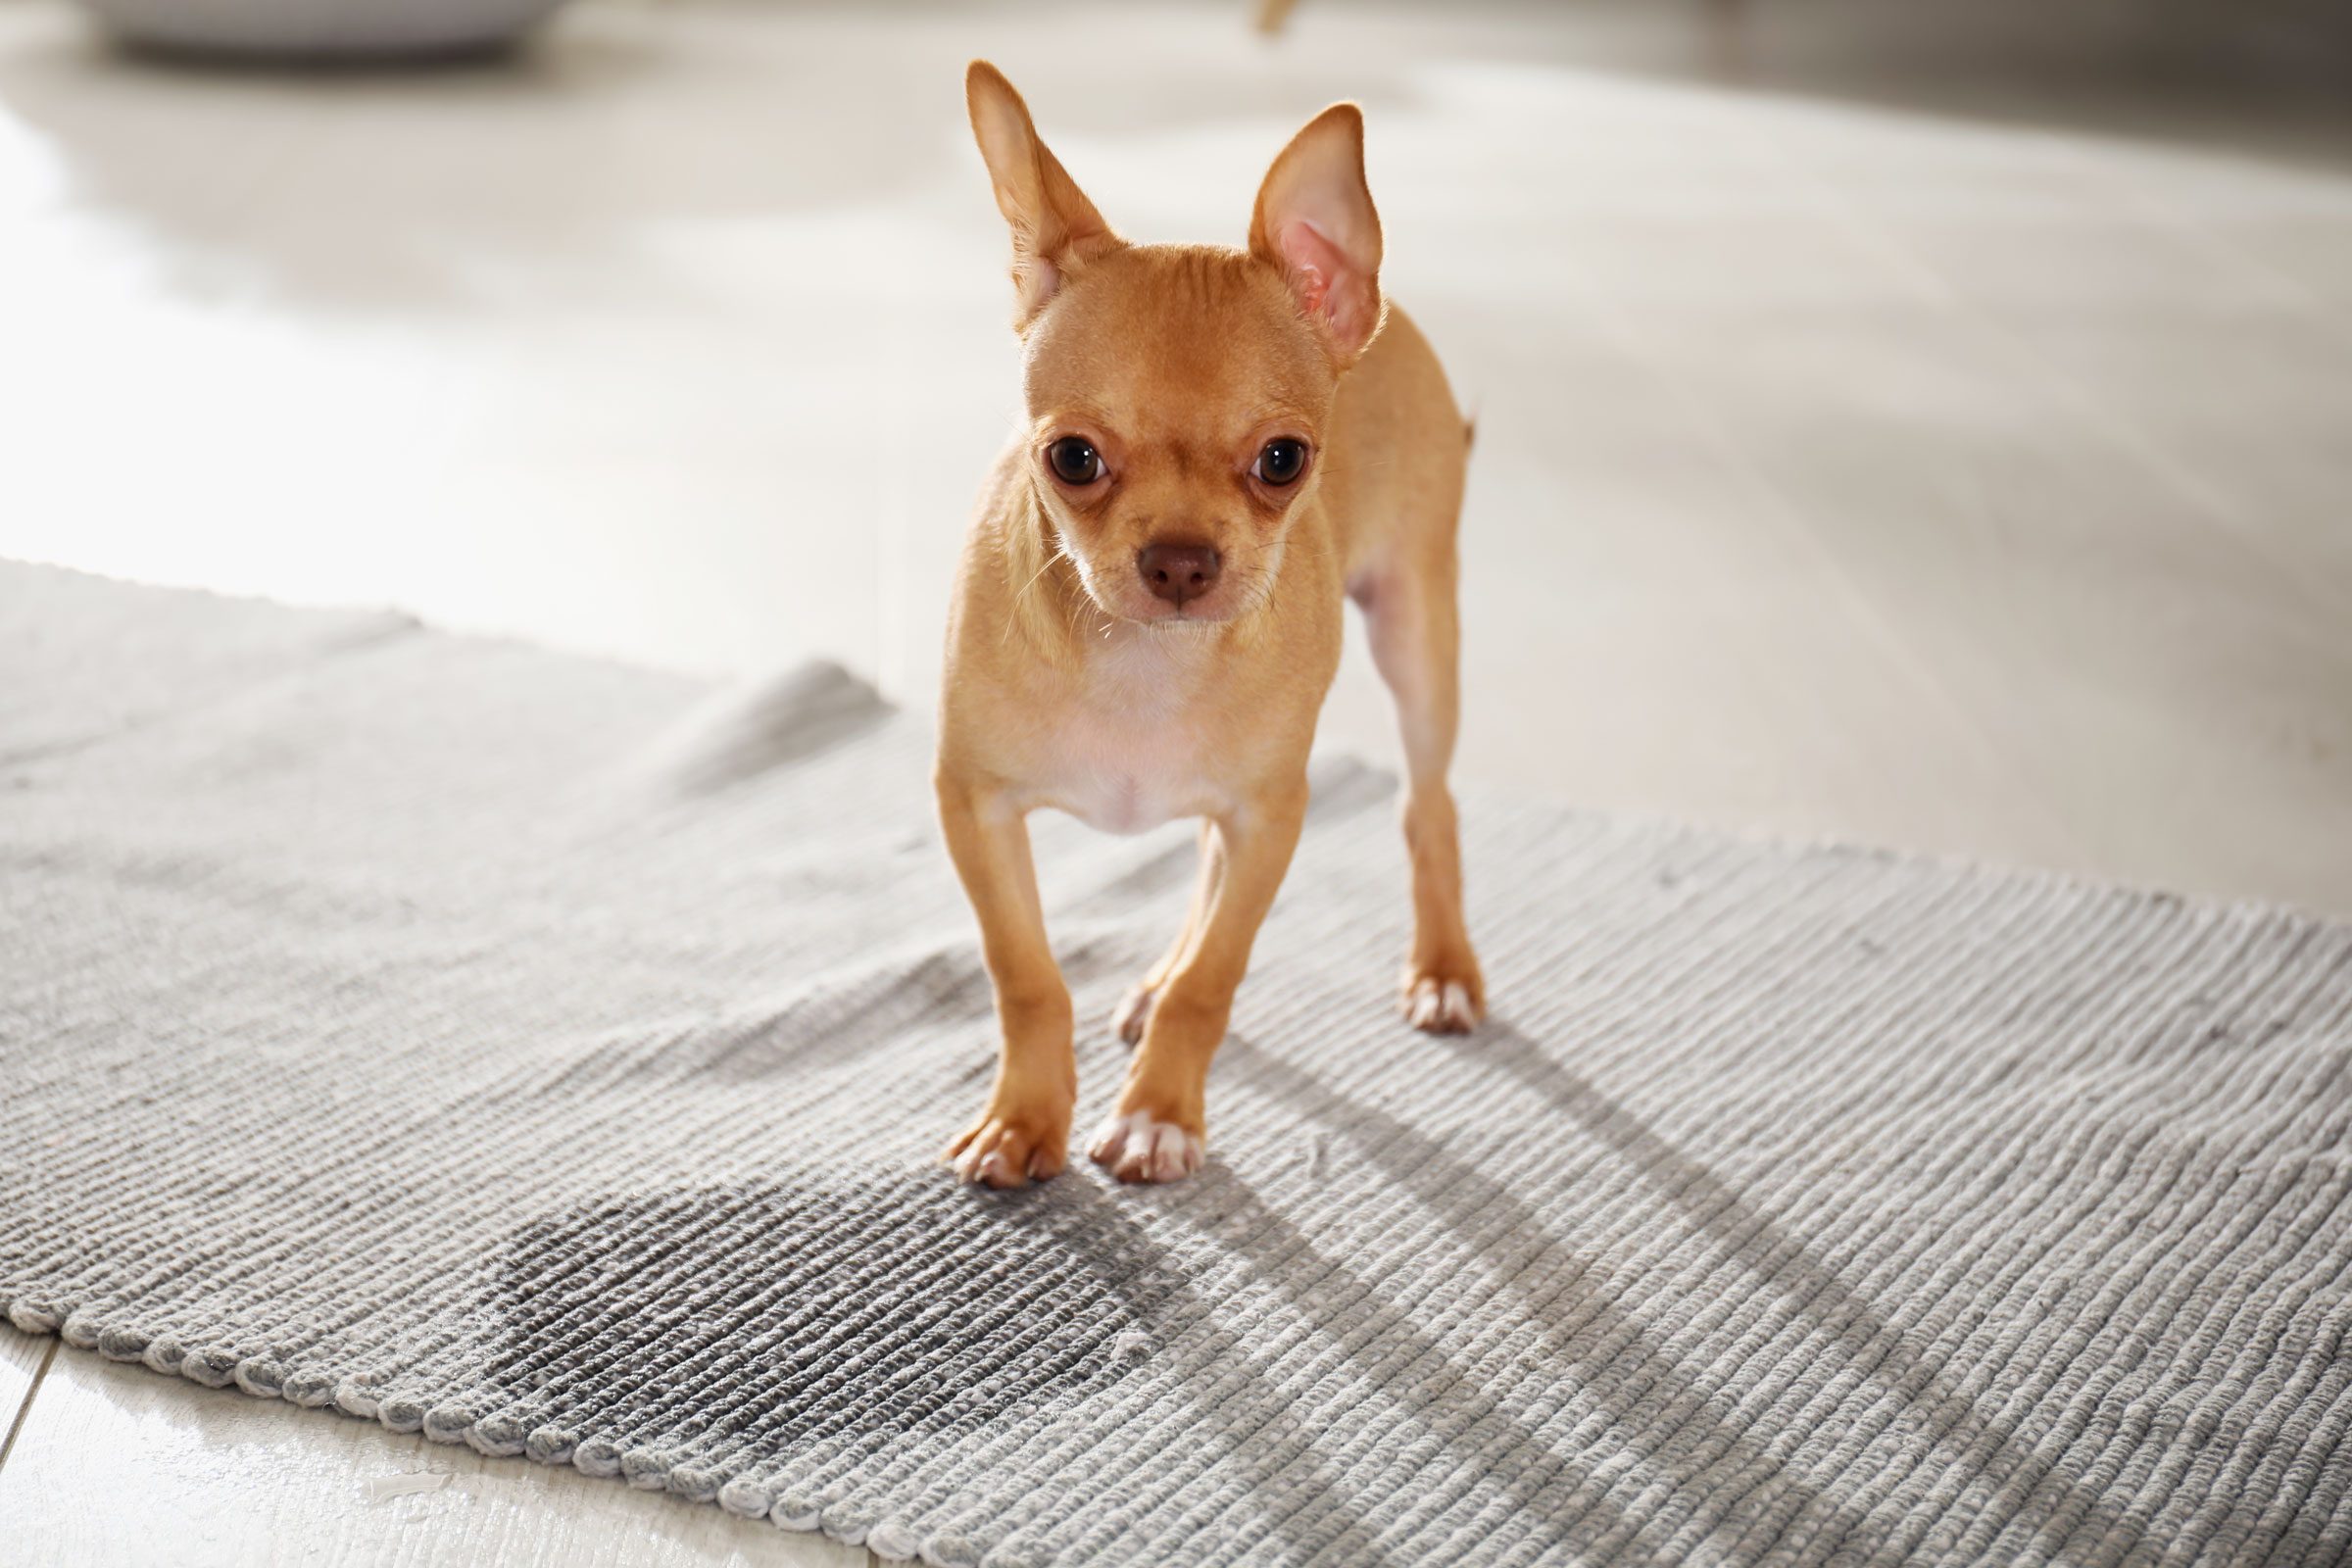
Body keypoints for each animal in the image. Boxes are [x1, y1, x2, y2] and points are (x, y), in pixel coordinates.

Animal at [941, 64, 1477, 1189]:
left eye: (1284, 460)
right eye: (1070, 459)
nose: (1181, 560)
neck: (1143, 666)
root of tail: (1386, 314)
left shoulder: (1271, 815)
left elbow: (1214, 978)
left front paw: (1158, 1116)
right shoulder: (977, 807)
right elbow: (1026, 975)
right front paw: (1024, 1117)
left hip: (1417, 635)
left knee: (1427, 802)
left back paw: (1444, 969)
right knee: (1198, 856)